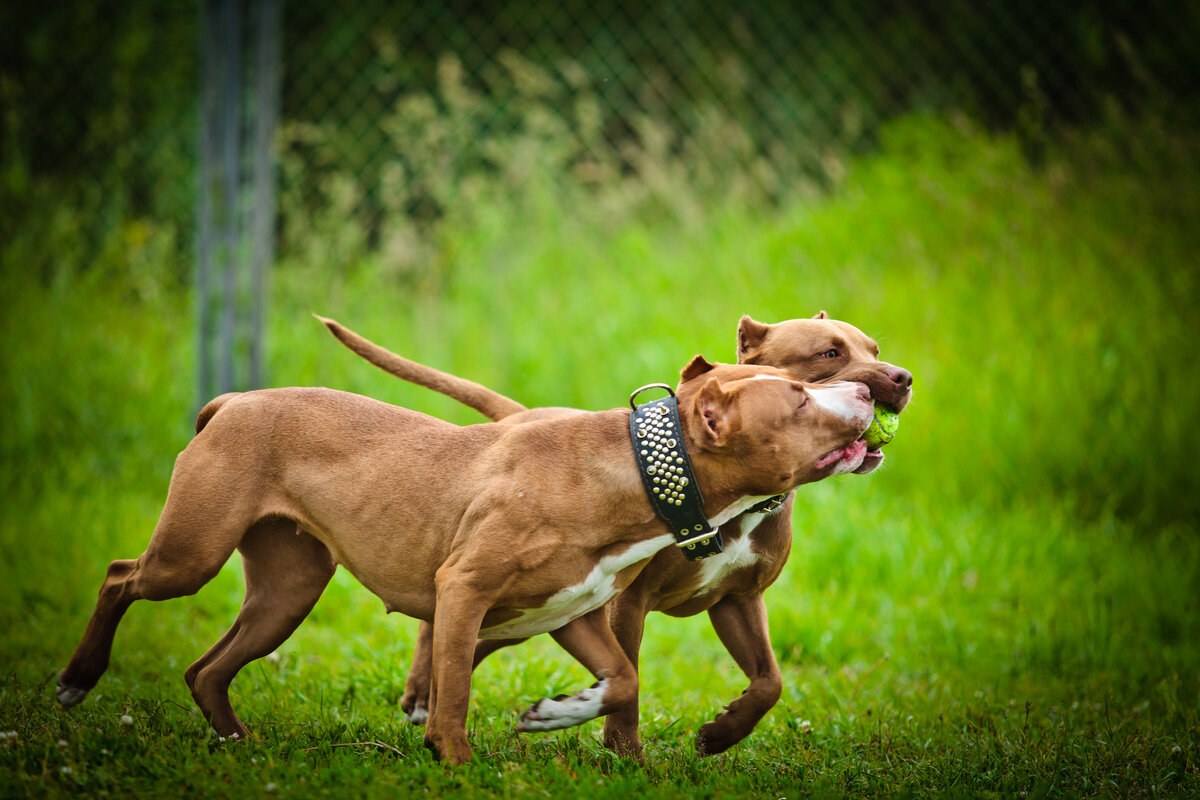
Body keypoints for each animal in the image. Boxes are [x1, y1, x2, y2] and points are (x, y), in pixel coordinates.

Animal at [56, 359, 878, 767]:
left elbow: (622, 681)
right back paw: (76, 680)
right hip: (191, 555)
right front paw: (452, 763)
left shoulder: (574, 612)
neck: (634, 476)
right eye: (800, 397)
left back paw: (238, 746)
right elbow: (451, 692)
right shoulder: (465, 591)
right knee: (120, 577)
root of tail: (232, 401)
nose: (873, 389)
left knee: (207, 670)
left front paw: (556, 713)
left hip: (286, 591)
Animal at [324, 311, 912, 758]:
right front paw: (624, 752)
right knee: (443, 624)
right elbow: (629, 681)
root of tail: (522, 415)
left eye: (874, 347)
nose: (899, 377)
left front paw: (720, 734)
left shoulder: (739, 600)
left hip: (532, 607)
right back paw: (424, 693)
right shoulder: (627, 604)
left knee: (471, 634)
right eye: (828, 354)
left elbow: (770, 681)